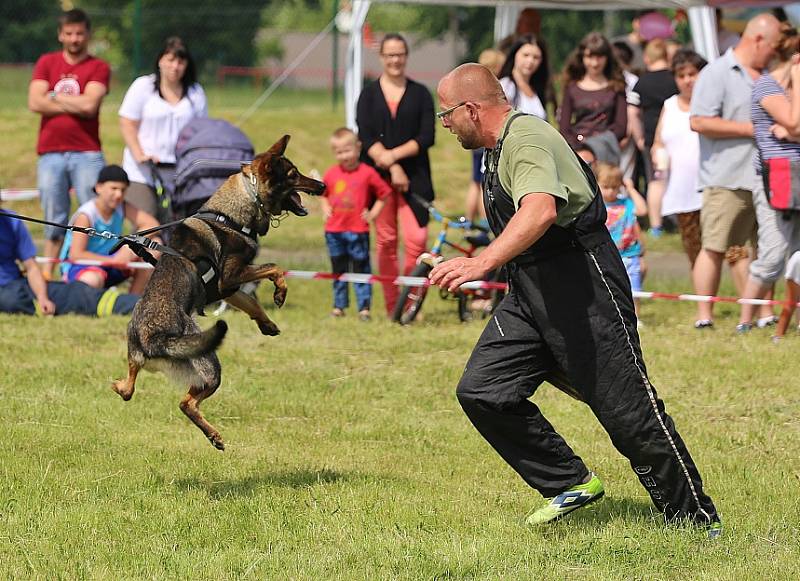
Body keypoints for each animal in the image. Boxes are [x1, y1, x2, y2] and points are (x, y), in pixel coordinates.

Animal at [112, 135, 324, 448]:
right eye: (293, 175)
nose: (322, 186)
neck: (231, 213)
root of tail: (155, 340)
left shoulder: (227, 288)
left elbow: (251, 303)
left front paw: (267, 324)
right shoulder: (230, 277)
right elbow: (274, 268)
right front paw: (280, 294)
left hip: (136, 358)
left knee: (128, 389)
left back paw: (119, 385)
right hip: (210, 366)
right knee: (186, 403)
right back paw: (214, 436)